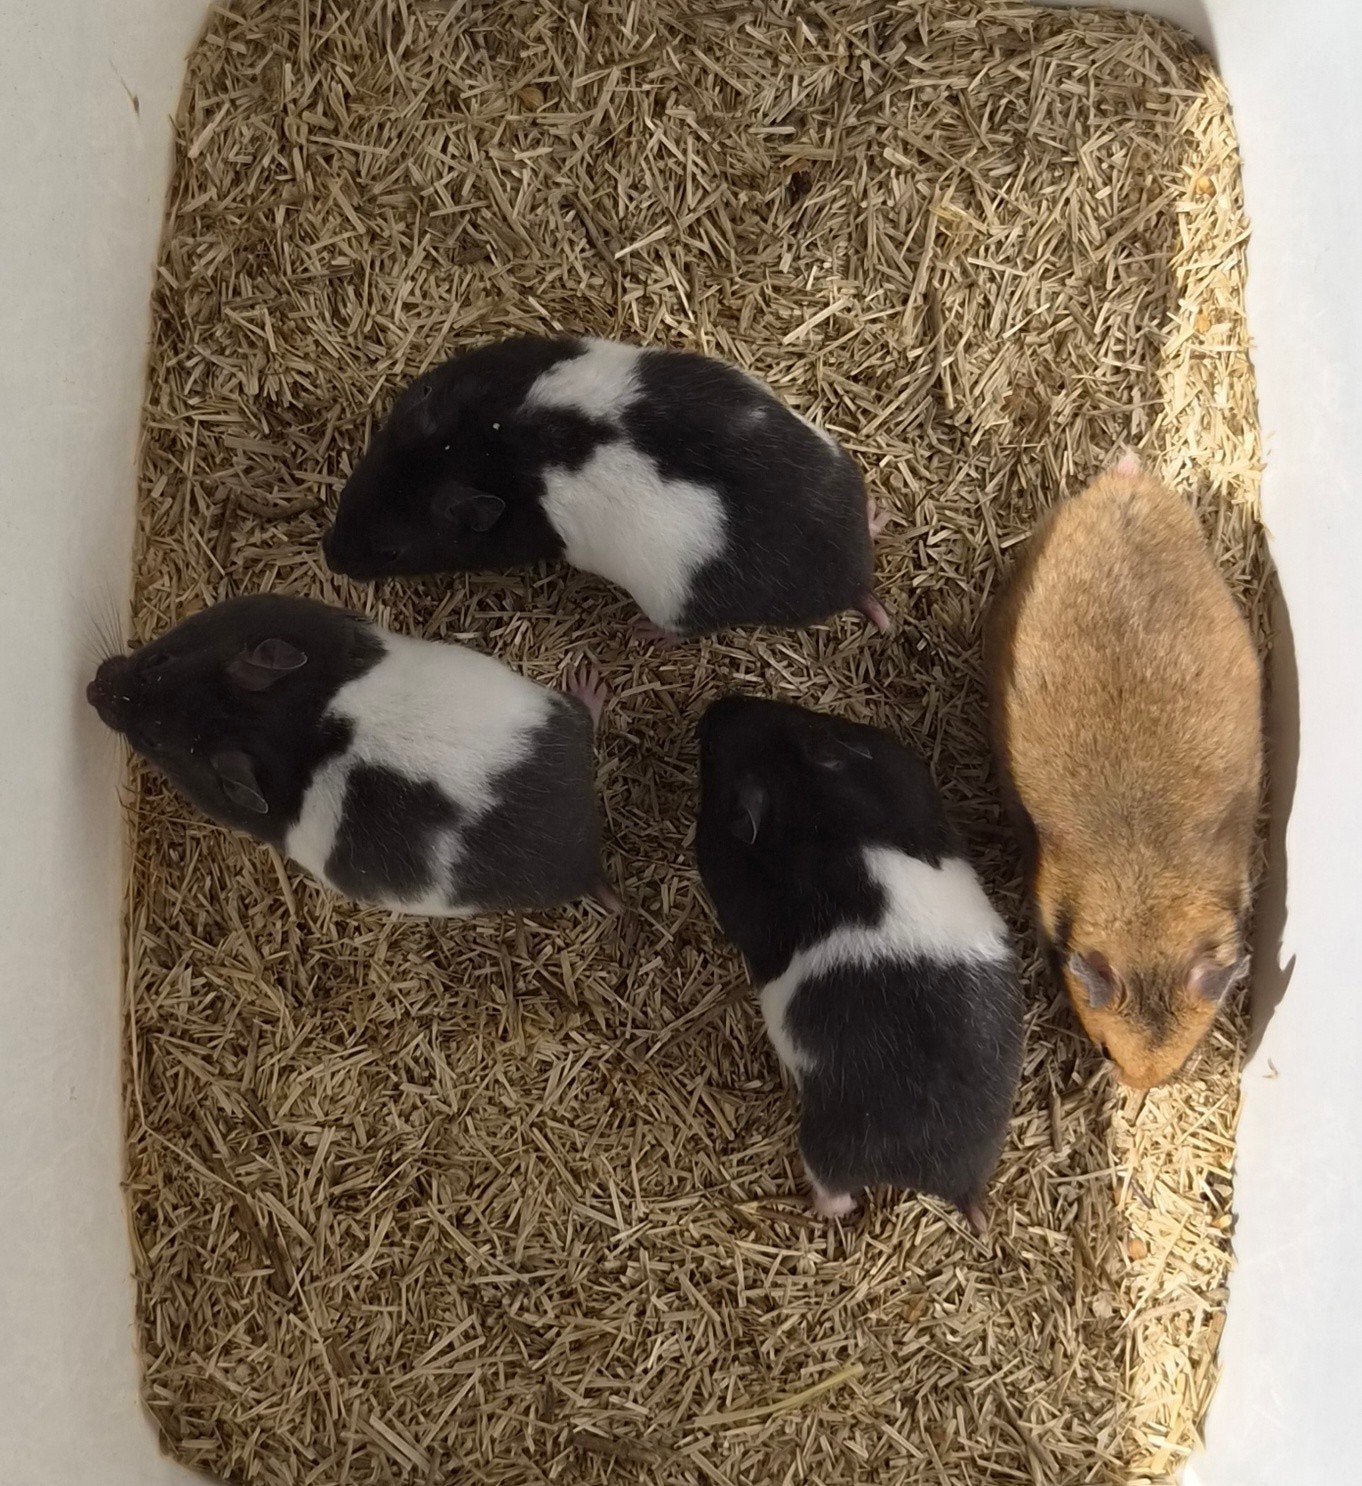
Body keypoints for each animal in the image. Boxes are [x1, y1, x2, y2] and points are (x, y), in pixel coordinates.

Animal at [86, 593, 612, 917]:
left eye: (154, 740)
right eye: (158, 662)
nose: (91, 688)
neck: (290, 729)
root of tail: (587, 858)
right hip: (553, 715)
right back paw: (592, 684)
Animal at [322, 335, 890, 640]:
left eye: (392, 552)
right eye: (348, 494)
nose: (329, 557)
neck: (476, 447)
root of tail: (853, 579)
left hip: (672, 602)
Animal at [695, 696, 1022, 1231]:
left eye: (715, 762)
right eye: (795, 715)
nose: (716, 707)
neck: (810, 802)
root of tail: (957, 1183)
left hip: (827, 1147)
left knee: (833, 1190)